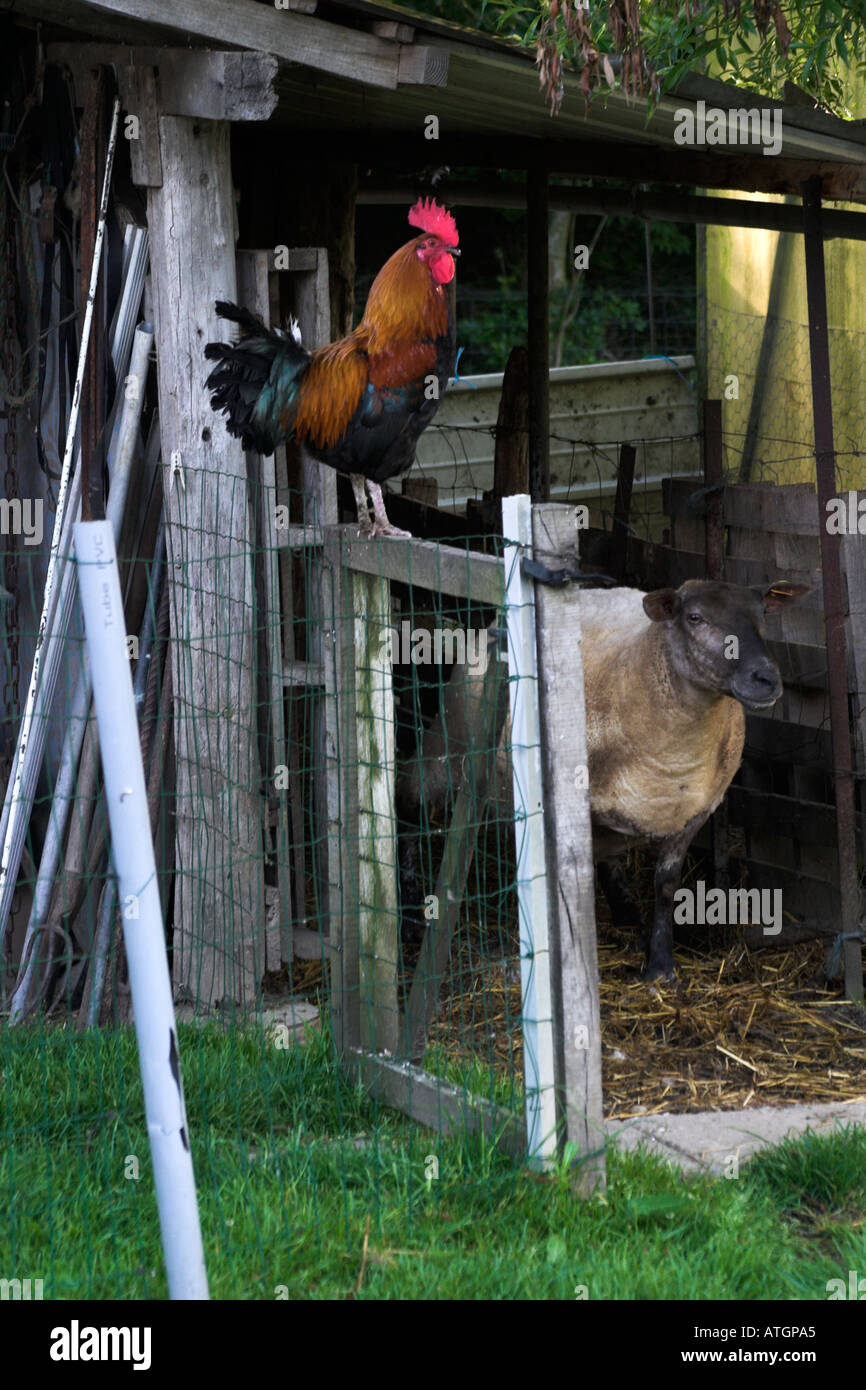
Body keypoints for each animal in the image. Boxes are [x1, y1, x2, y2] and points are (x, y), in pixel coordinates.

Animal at [397, 578, 807, 980]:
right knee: (411, 802)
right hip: (450, 743)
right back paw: (410, 915)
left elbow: (665, 884)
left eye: (763, 612)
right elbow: (577, 882)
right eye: (694, 617)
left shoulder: (694, 813)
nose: (767, 678)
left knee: (609, 859)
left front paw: (660, 964)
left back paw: (628, 915)